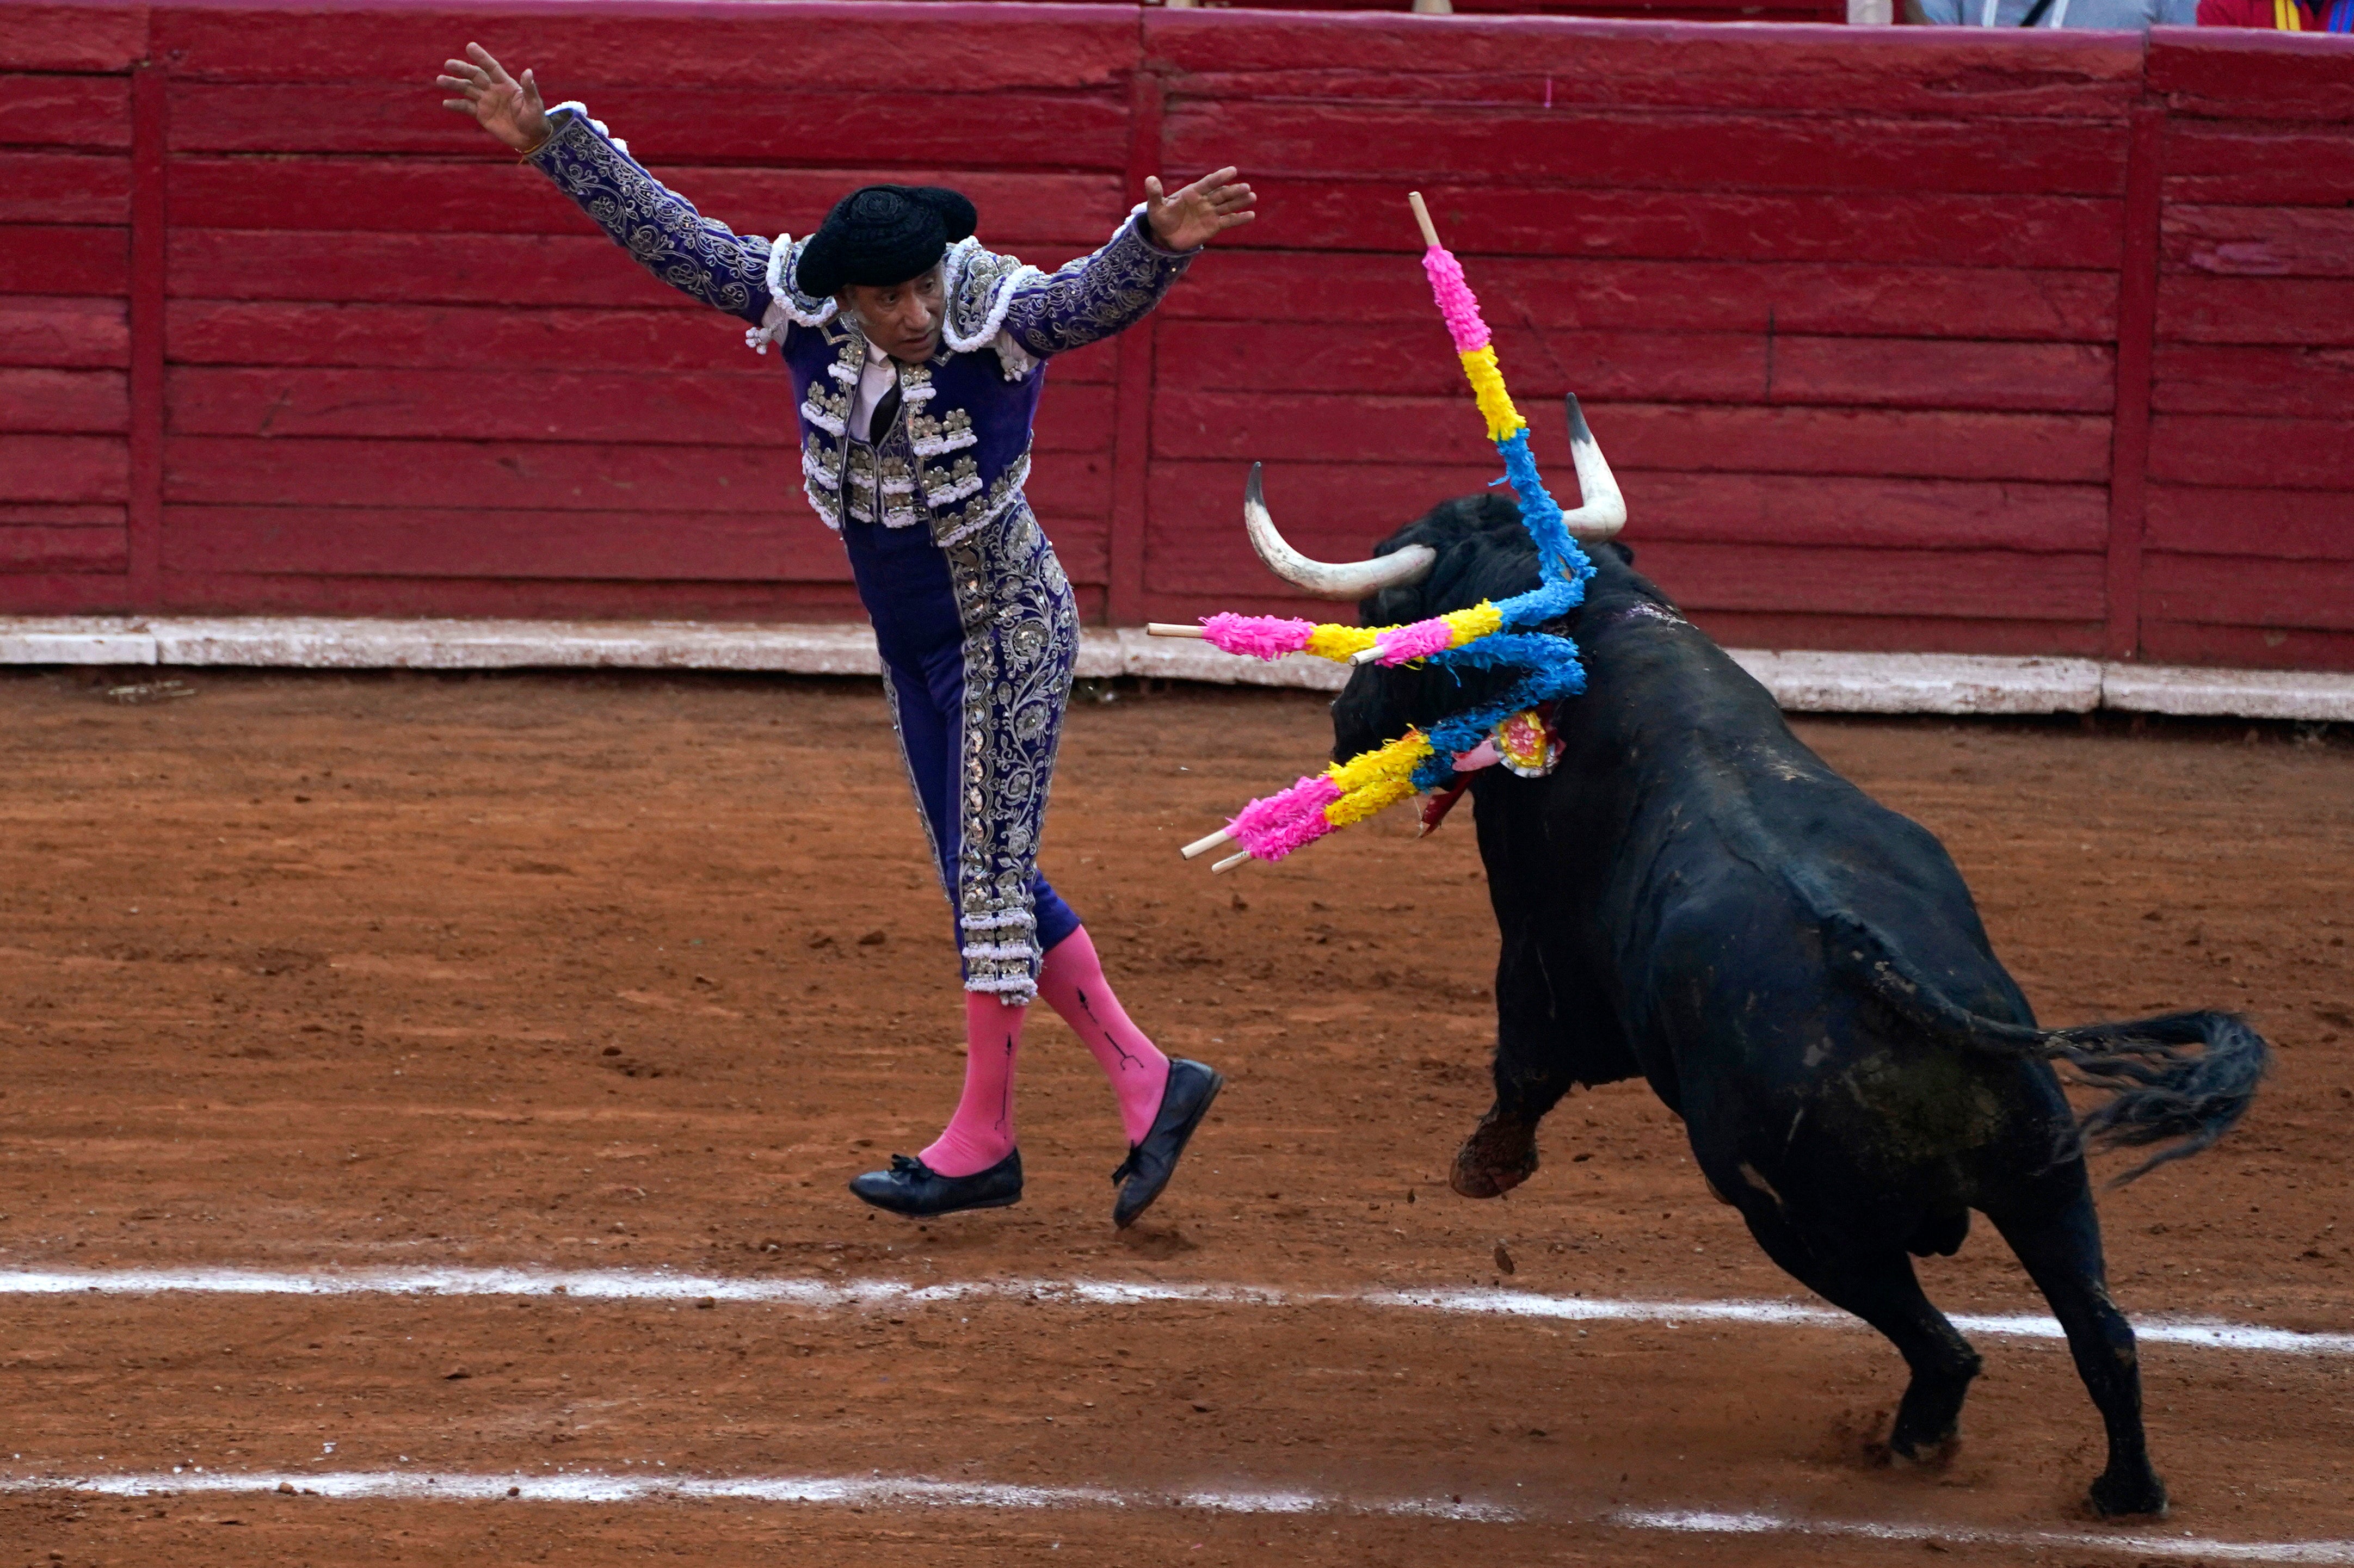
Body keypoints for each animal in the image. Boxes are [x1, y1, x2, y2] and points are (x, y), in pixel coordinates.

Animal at [1243, 402, 2269, 1516]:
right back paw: (2124, 1489)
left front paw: (1486, 1164)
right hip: (2047, 1176)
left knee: (1945, 1347)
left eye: (1391, 620)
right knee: (2103, 1332)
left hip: (1794, 1214)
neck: (1595, 643)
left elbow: (1525, 1051)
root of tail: (1889, 982)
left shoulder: (1533, 936)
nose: (1343, 726)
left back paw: (1913, 1446)